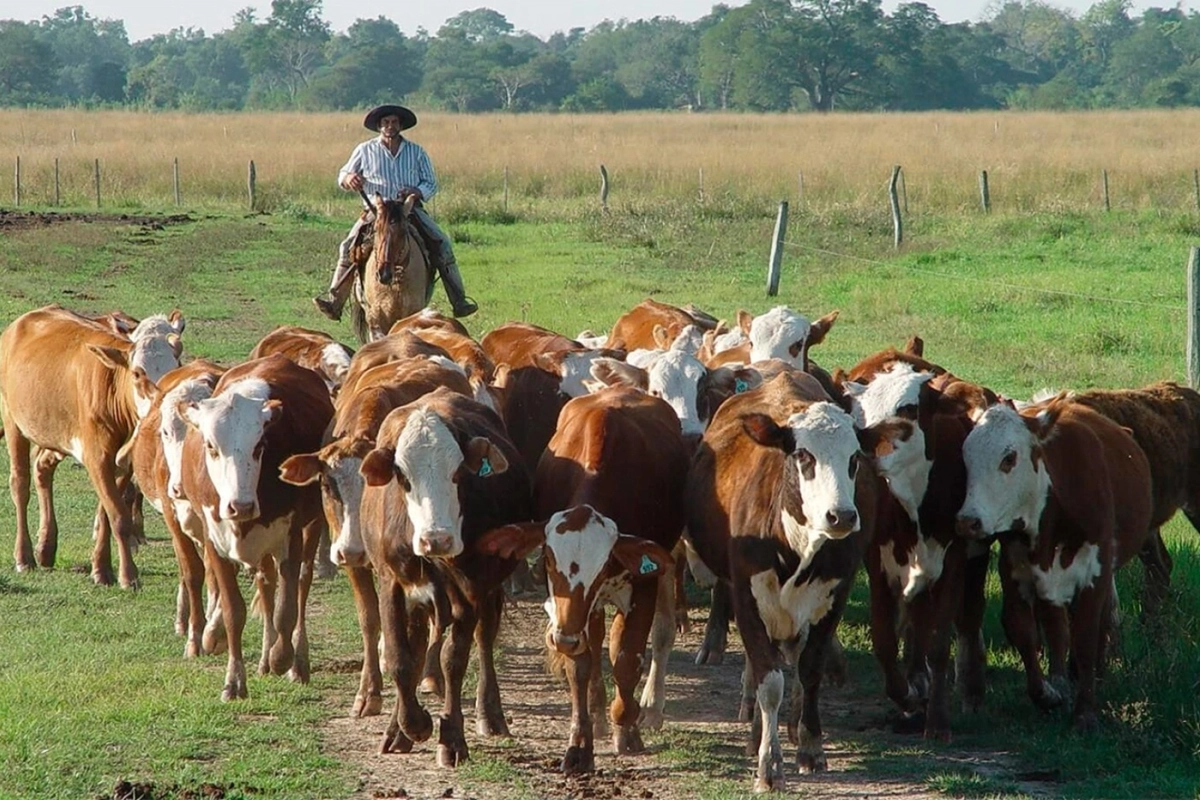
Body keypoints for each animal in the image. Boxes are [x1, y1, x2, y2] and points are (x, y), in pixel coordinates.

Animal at [0, 305, 183, 588]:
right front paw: (128, 575)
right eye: (137, 373)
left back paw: (46, 548)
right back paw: (25, 557)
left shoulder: (122, 464)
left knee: (42, 468)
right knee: (20, 484)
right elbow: (118, 516)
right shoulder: (97, 458)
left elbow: (109, 512)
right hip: (12, 422)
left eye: (176, 367)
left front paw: (101, 568)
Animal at [178, 354, 334, 700]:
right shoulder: (214, 538)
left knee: (300, 584)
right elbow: (234, 611)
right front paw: (234, 680)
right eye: (211, 446)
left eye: (259, 445)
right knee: (266, 583)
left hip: (312, 526)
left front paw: (282, 657)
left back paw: (295, 662)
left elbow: (286, 608)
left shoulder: (290, 534)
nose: (242, 506)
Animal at [357, 387, 532, 766]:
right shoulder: (391, 582)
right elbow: (400, 658)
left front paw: (450, 738)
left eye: (458, 473)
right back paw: (399, 729)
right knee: (417, 646)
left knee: (484, 637)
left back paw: (490, 715)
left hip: (486, 591)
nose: (436, 539)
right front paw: (411, 725)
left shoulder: (469, 588)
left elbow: (454, 658)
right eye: (404, 478)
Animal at [685, 372, 876, 791]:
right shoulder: (748, 598)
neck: (798, 547)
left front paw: (809, 745)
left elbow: (809, 670)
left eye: (854, 458)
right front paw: (768, 763)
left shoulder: (832, 600)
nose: (841, 516)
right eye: (804, 456)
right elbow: (769, 681)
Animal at [956, 396, 1154, 730]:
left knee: (1098, 622)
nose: (967, 521)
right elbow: (1024, 631)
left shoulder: (1096, 572)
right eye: (966, 457)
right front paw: (1048, 694)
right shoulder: (1017, 570)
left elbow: (1086, 635)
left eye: (1009, 458)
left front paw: (1085, 712)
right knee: (1057, 626)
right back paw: (1061, 678)